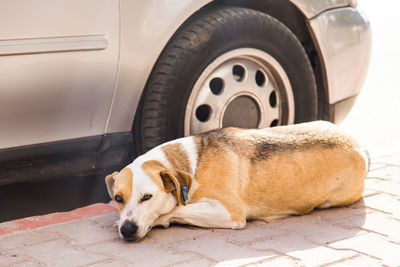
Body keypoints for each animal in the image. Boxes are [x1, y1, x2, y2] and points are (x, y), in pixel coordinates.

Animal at [104, 121, 368, 243]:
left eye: (147, 197)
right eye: (118, 198)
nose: (127, 230)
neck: (193, 164)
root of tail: (359, 145)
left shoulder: (230, 213)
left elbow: (177, 209)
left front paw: (161, 218)